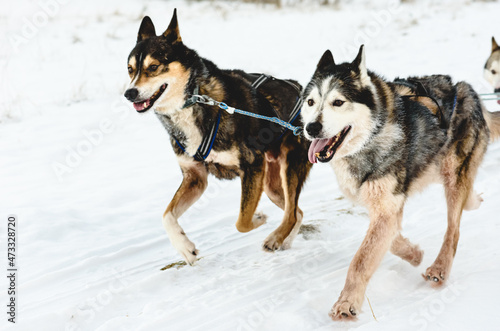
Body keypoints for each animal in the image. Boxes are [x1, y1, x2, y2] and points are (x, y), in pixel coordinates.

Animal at [123, 9, 310, 266]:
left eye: (153, 66)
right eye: (130, 69)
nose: (129, 93)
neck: (195, 100)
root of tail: (302, 91)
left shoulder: (252, 166)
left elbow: (242, 221)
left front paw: (258, 218)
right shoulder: (195, 177)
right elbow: (166, 215)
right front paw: (185, 247)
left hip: (288, 169)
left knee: (291, 213)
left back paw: (275, 237)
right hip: (270, 184)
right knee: (297, 211)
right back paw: (283, 240)